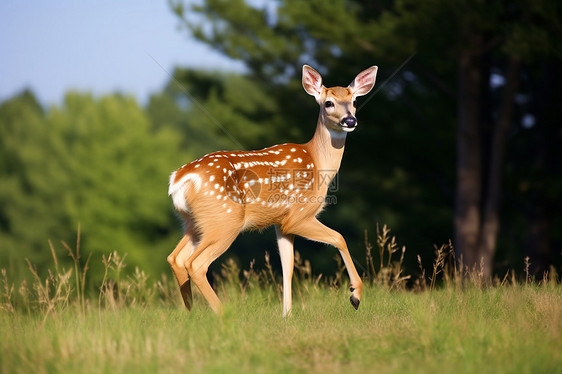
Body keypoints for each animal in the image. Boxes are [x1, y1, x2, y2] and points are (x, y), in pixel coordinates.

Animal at [166, 64, 376, 316]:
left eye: (354, 101)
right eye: (328, 103)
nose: (350, 120)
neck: (317, 162)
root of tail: (180, 179)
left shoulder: (280, 223)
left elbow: (288, 266)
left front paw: (287, 315)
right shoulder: (298, 215)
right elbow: (339, 237)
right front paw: (355, 295)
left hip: (194, 222)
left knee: (176, 258)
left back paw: (191, 314)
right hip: (225, 220)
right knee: (195, 263)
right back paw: (224, 314)